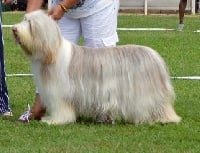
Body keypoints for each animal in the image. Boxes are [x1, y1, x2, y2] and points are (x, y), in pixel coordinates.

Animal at [12, 10, 181, 125]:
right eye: (24, 19)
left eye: (30, 24)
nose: (14, 29)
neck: (53, 52)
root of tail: (154, 56)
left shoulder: (59, 92)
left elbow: (61, 108)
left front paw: (54, 120)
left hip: (143, 92)